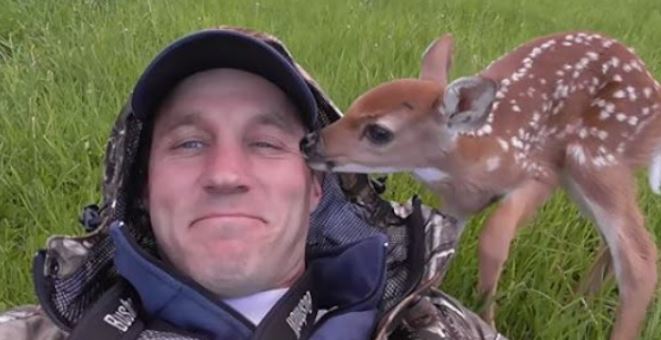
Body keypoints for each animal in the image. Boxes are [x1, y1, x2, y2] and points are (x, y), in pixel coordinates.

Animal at [300, 30, 660, 338]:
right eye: (356, 105)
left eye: (379, 132)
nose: (309, 142)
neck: (474, 159)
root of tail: (652, 88)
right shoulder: (456, 206)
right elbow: (442, 258)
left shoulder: (539, 171)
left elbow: (493, 237)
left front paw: (487, 319)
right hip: (581, 175)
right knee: (617, 241)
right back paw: (575, 305)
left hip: (597, 158)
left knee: (640, 256)